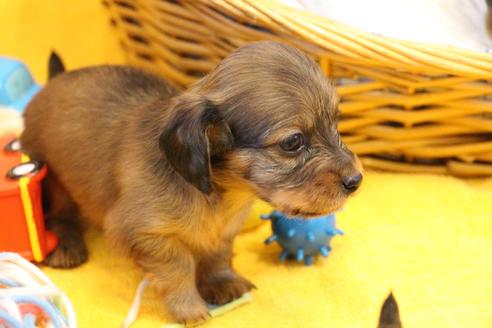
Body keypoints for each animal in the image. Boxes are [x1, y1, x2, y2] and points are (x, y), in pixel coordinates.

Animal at [20, 41, 362, 322]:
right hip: (52, 180)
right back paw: (67, 243)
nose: (356, 180)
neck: (222, 193)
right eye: (292, 142)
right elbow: (179, 265)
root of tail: (55, 80)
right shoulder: (141, 232)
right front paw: (188, 306)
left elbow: (218, 254)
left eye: (336, 123)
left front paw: (221, 282)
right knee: (59, 214)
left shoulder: (224, 230)